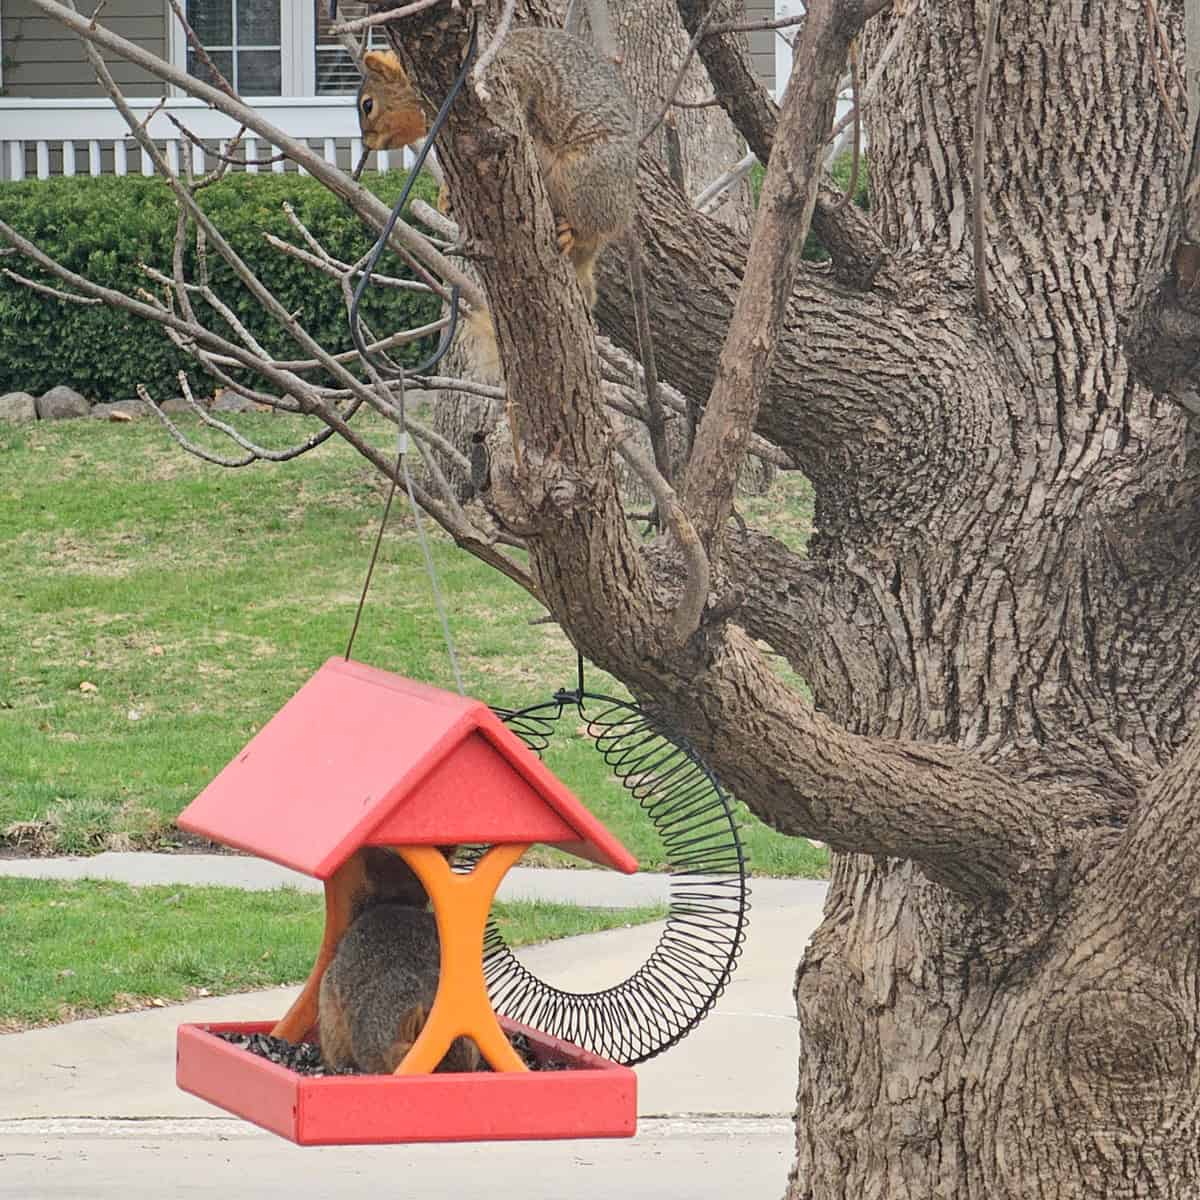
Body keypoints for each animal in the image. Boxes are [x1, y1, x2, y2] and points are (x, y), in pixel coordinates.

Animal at [355, 30, 637, 379]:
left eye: (368, 105)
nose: (367, 144)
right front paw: (446, 195)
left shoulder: (510, 81)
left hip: (584, 179)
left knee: (590, 225)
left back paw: (569, 230)